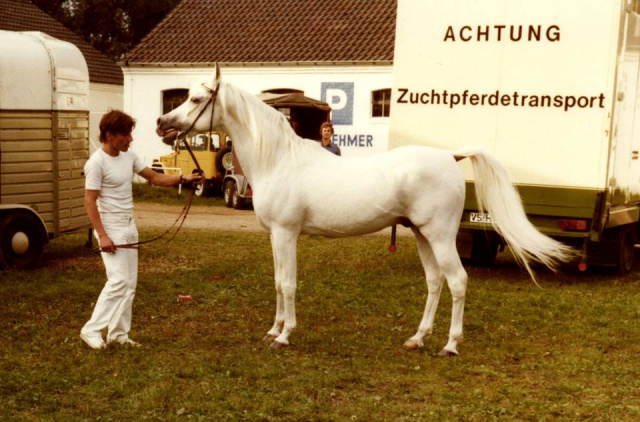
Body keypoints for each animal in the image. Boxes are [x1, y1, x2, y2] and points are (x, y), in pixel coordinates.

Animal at [156, 65, 576, 356]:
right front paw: (273, 330)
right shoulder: (275, 236)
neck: (279, 159)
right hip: (422, 235)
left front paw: (285, 336)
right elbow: (277, 282)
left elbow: (288, 284)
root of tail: (450, 156)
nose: (161, 124)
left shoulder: (287, 234)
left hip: (440, 236)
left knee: (457, 281)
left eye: (197, 100)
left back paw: (450, 345)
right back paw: (417, 339)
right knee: (434, 282)